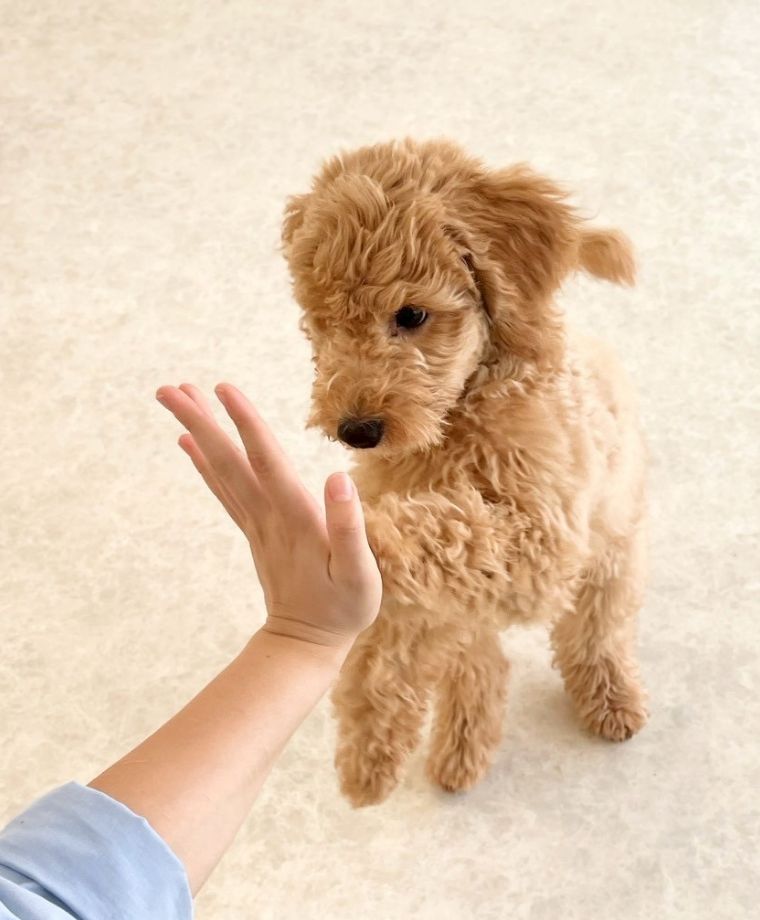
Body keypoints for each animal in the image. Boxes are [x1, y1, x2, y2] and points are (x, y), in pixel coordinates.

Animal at [282, 138, 647, 807]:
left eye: (411, 314)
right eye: (322, 323)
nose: (357, 431)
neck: (459, 416)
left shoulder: (544, 540)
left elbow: (454, 527)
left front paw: (368, 533)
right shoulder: (431, 601)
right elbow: (383, 647)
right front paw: (368, 759)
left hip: (613, 552)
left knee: (595, 634)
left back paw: (611, 703)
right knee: (481, 663)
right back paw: (460, 752)